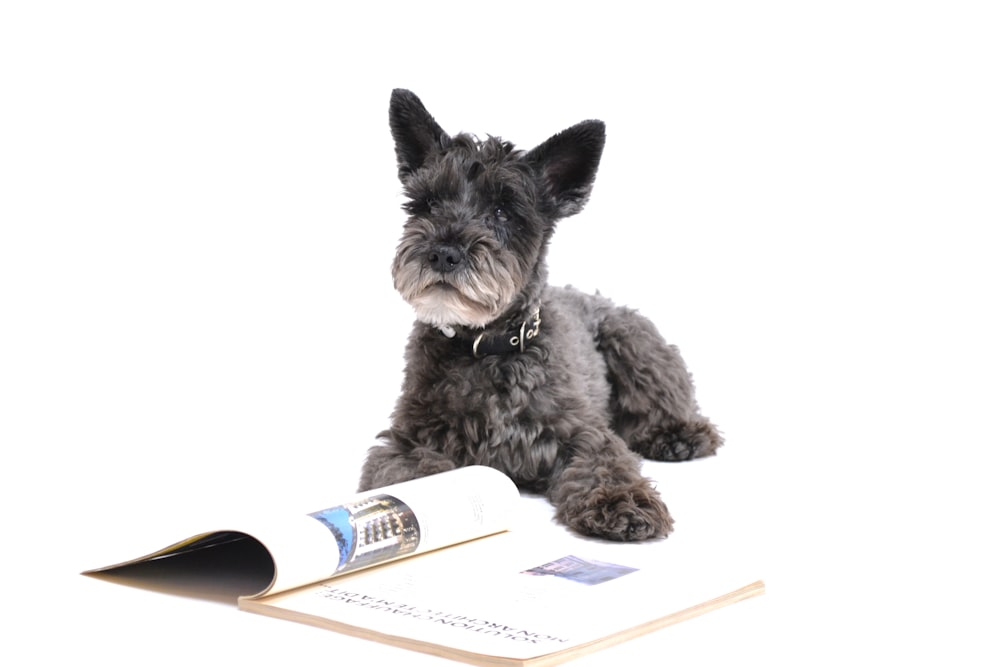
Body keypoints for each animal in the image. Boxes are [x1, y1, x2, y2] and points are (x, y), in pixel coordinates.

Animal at [358, 88, 720, 540]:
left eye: (502, 211)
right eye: (427, 204)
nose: (442, 253)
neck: (485, 345)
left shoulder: (582, 431)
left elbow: (606, 463)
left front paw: (622, 503)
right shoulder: (405, 441)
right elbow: (413, 473)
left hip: (633, 342)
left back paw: (678, 435)